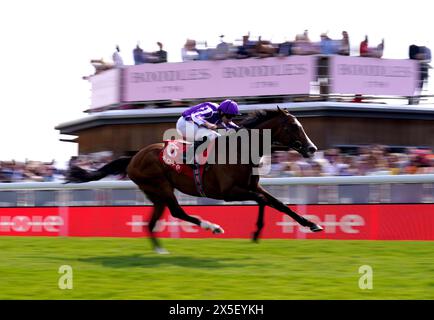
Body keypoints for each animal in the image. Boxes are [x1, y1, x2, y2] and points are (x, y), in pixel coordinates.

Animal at [68, 107, 324, 252]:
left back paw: (159, 250)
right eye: (293, 127)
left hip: (156, 193)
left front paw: (311, 224)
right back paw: (213, 227)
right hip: (160, 186)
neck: (240, 149)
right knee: (177, 212)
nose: (312, 149)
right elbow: (264, 201)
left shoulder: (252, 186)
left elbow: (278, 203)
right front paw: (256, 232)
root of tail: (133, 157)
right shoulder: (228, 193)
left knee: (151, 222)